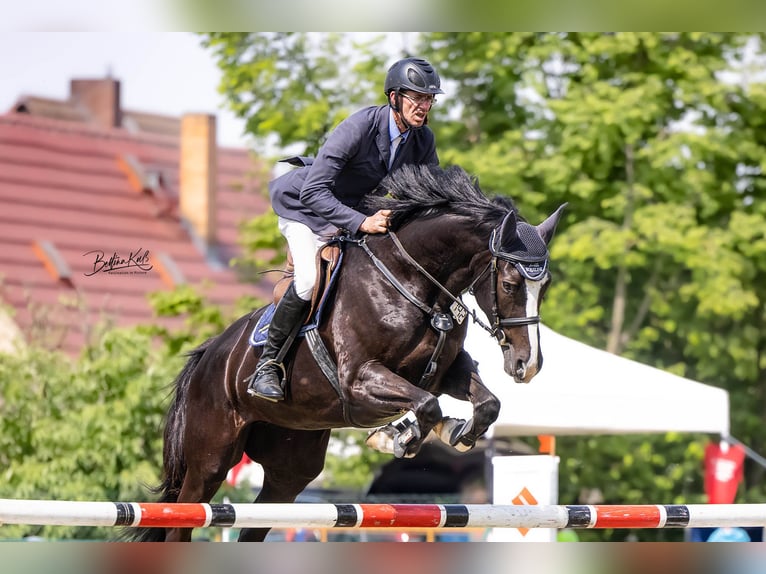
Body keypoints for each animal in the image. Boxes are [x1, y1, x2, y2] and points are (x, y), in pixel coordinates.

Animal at [129, 164, 568, 544]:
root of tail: (207, 355)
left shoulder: (445, 373)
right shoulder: (359, 379)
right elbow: (426, 405)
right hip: (212, 456)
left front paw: (454, 432)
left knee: (262, 515)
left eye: (545, 285)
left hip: (292, 463)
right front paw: (397, 437)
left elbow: (486, 403)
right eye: (510, 284)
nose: (527, 365)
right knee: (184, 514)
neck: (412, 281)